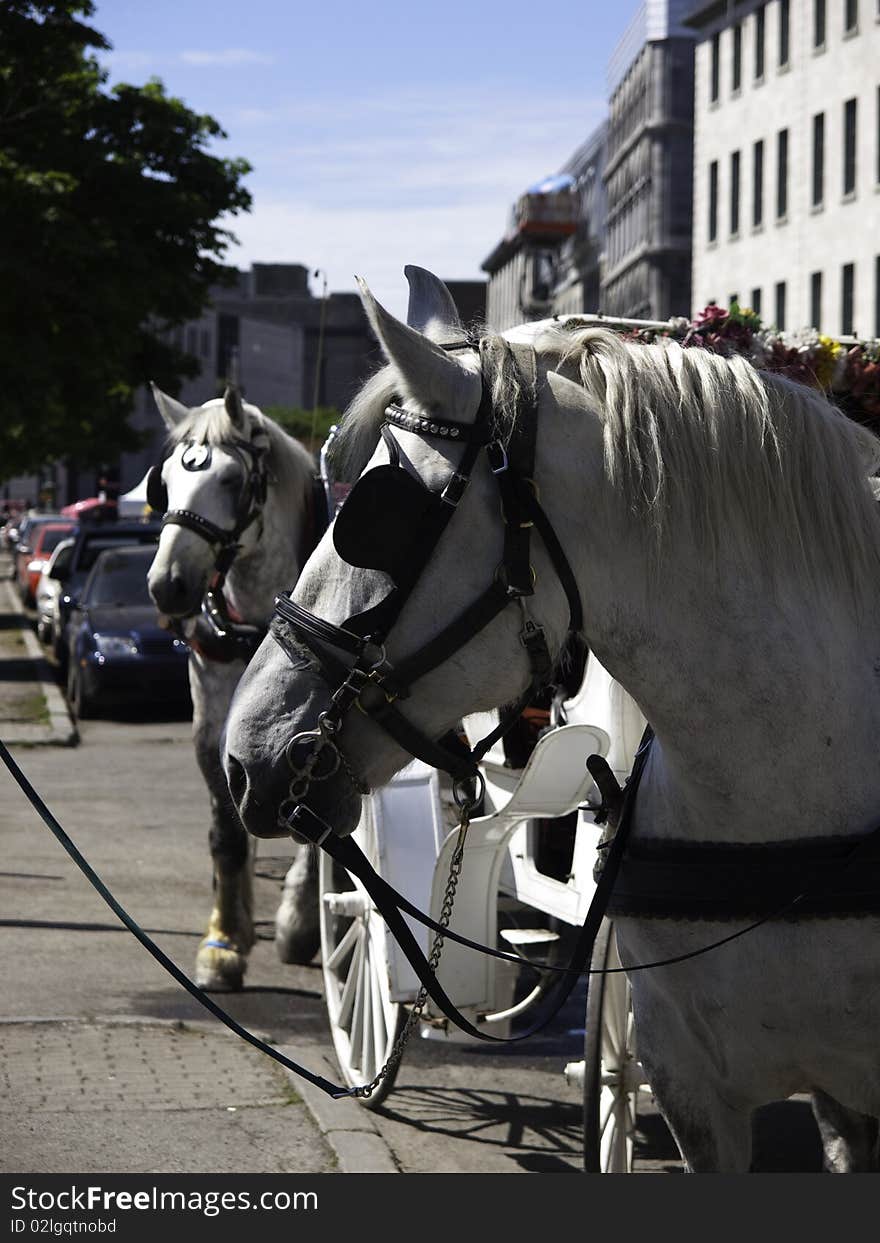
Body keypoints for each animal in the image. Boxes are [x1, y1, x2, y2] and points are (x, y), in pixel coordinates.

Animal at [146, 387, 325, 989]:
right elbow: (226, 833)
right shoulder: (212, 726)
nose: (168, 586)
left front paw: (298, 923)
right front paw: (224, 942)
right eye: (165, 482)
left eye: (230, 480)